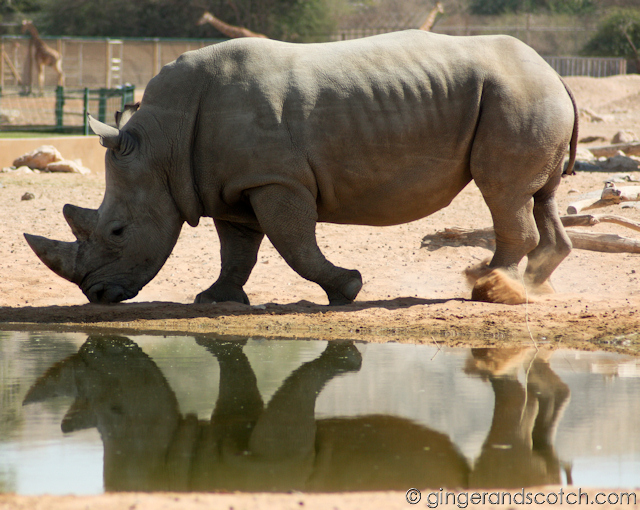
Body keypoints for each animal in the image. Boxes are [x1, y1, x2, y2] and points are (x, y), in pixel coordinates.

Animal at [24, 30, 578, 305]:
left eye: (117, 231)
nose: (96, 295)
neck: (164, 143)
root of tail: (555, 73)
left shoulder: (276, 179)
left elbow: (294, 244)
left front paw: (347, 289)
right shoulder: (230, 184)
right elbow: (237, 249)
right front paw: (216, 301)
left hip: (517, 96)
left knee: (502, 192)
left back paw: (489, 289)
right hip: (524, 96)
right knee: (539, 195)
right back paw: (535, 285)